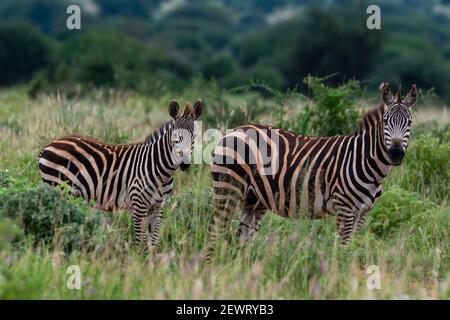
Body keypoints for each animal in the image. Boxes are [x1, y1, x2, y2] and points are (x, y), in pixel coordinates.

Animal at [38, 100, 204, 250]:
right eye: (175, 138)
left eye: (194, 137)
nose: (185, 164)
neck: (162, 173)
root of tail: (49, 144)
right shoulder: (138, 204)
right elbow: (140, 242)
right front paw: (138, 261)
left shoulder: (158, 206)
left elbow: (154, 242)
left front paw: (152, 262)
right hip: (59, 188)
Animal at [206, 84, 416, 262]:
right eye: (386, 121)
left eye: (410, 123)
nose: (396, 153)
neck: (365, 162)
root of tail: (234, 130)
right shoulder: (345, 208)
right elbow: (344, 249)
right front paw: (339, 277)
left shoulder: (362, 212)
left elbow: (352, 248)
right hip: (228, 187)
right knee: (215, 230)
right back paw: (211, 268)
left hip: (254, 198)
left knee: (241, 237)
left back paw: (242, 270)